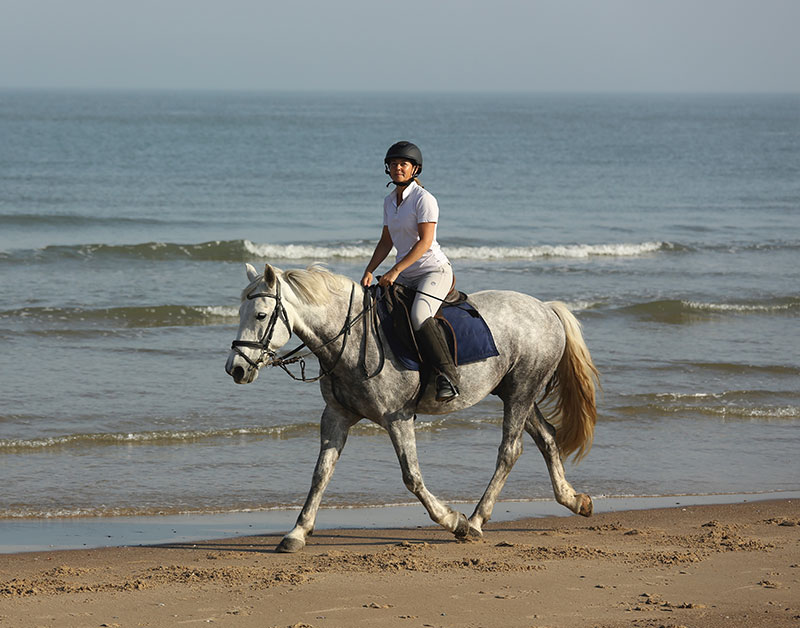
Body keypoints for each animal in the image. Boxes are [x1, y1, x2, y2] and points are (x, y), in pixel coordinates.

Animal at [222, 262, 596, 552]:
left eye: (261, 314)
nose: (235, 369)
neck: (352, 340)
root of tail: (545, 308)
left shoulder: (397, 418)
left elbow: (411, 477)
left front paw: (453, 521)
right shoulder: (337, 416)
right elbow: (320, 474)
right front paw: (297, 532)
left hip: (520, 392)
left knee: (510, 450)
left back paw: (475, 521)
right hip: (515, 393)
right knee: (546, 437)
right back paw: (574, 500)